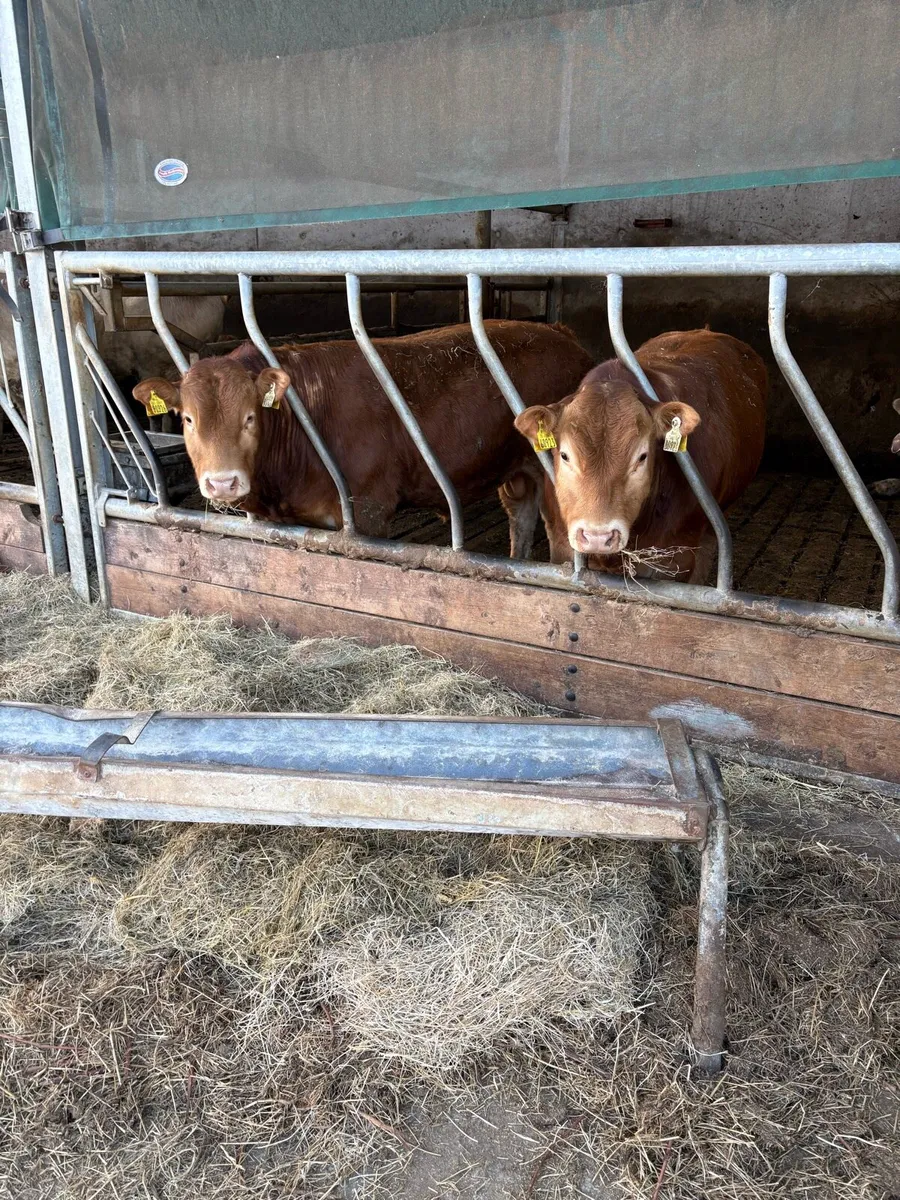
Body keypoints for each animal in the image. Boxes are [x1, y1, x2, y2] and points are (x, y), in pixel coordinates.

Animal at [133, 320, 593, 556]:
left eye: (250, 417)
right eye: (187, 419)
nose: (223, 483)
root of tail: (559, 332)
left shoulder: (369, 510)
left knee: (559, 537)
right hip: (513, 469)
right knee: (521, 516)